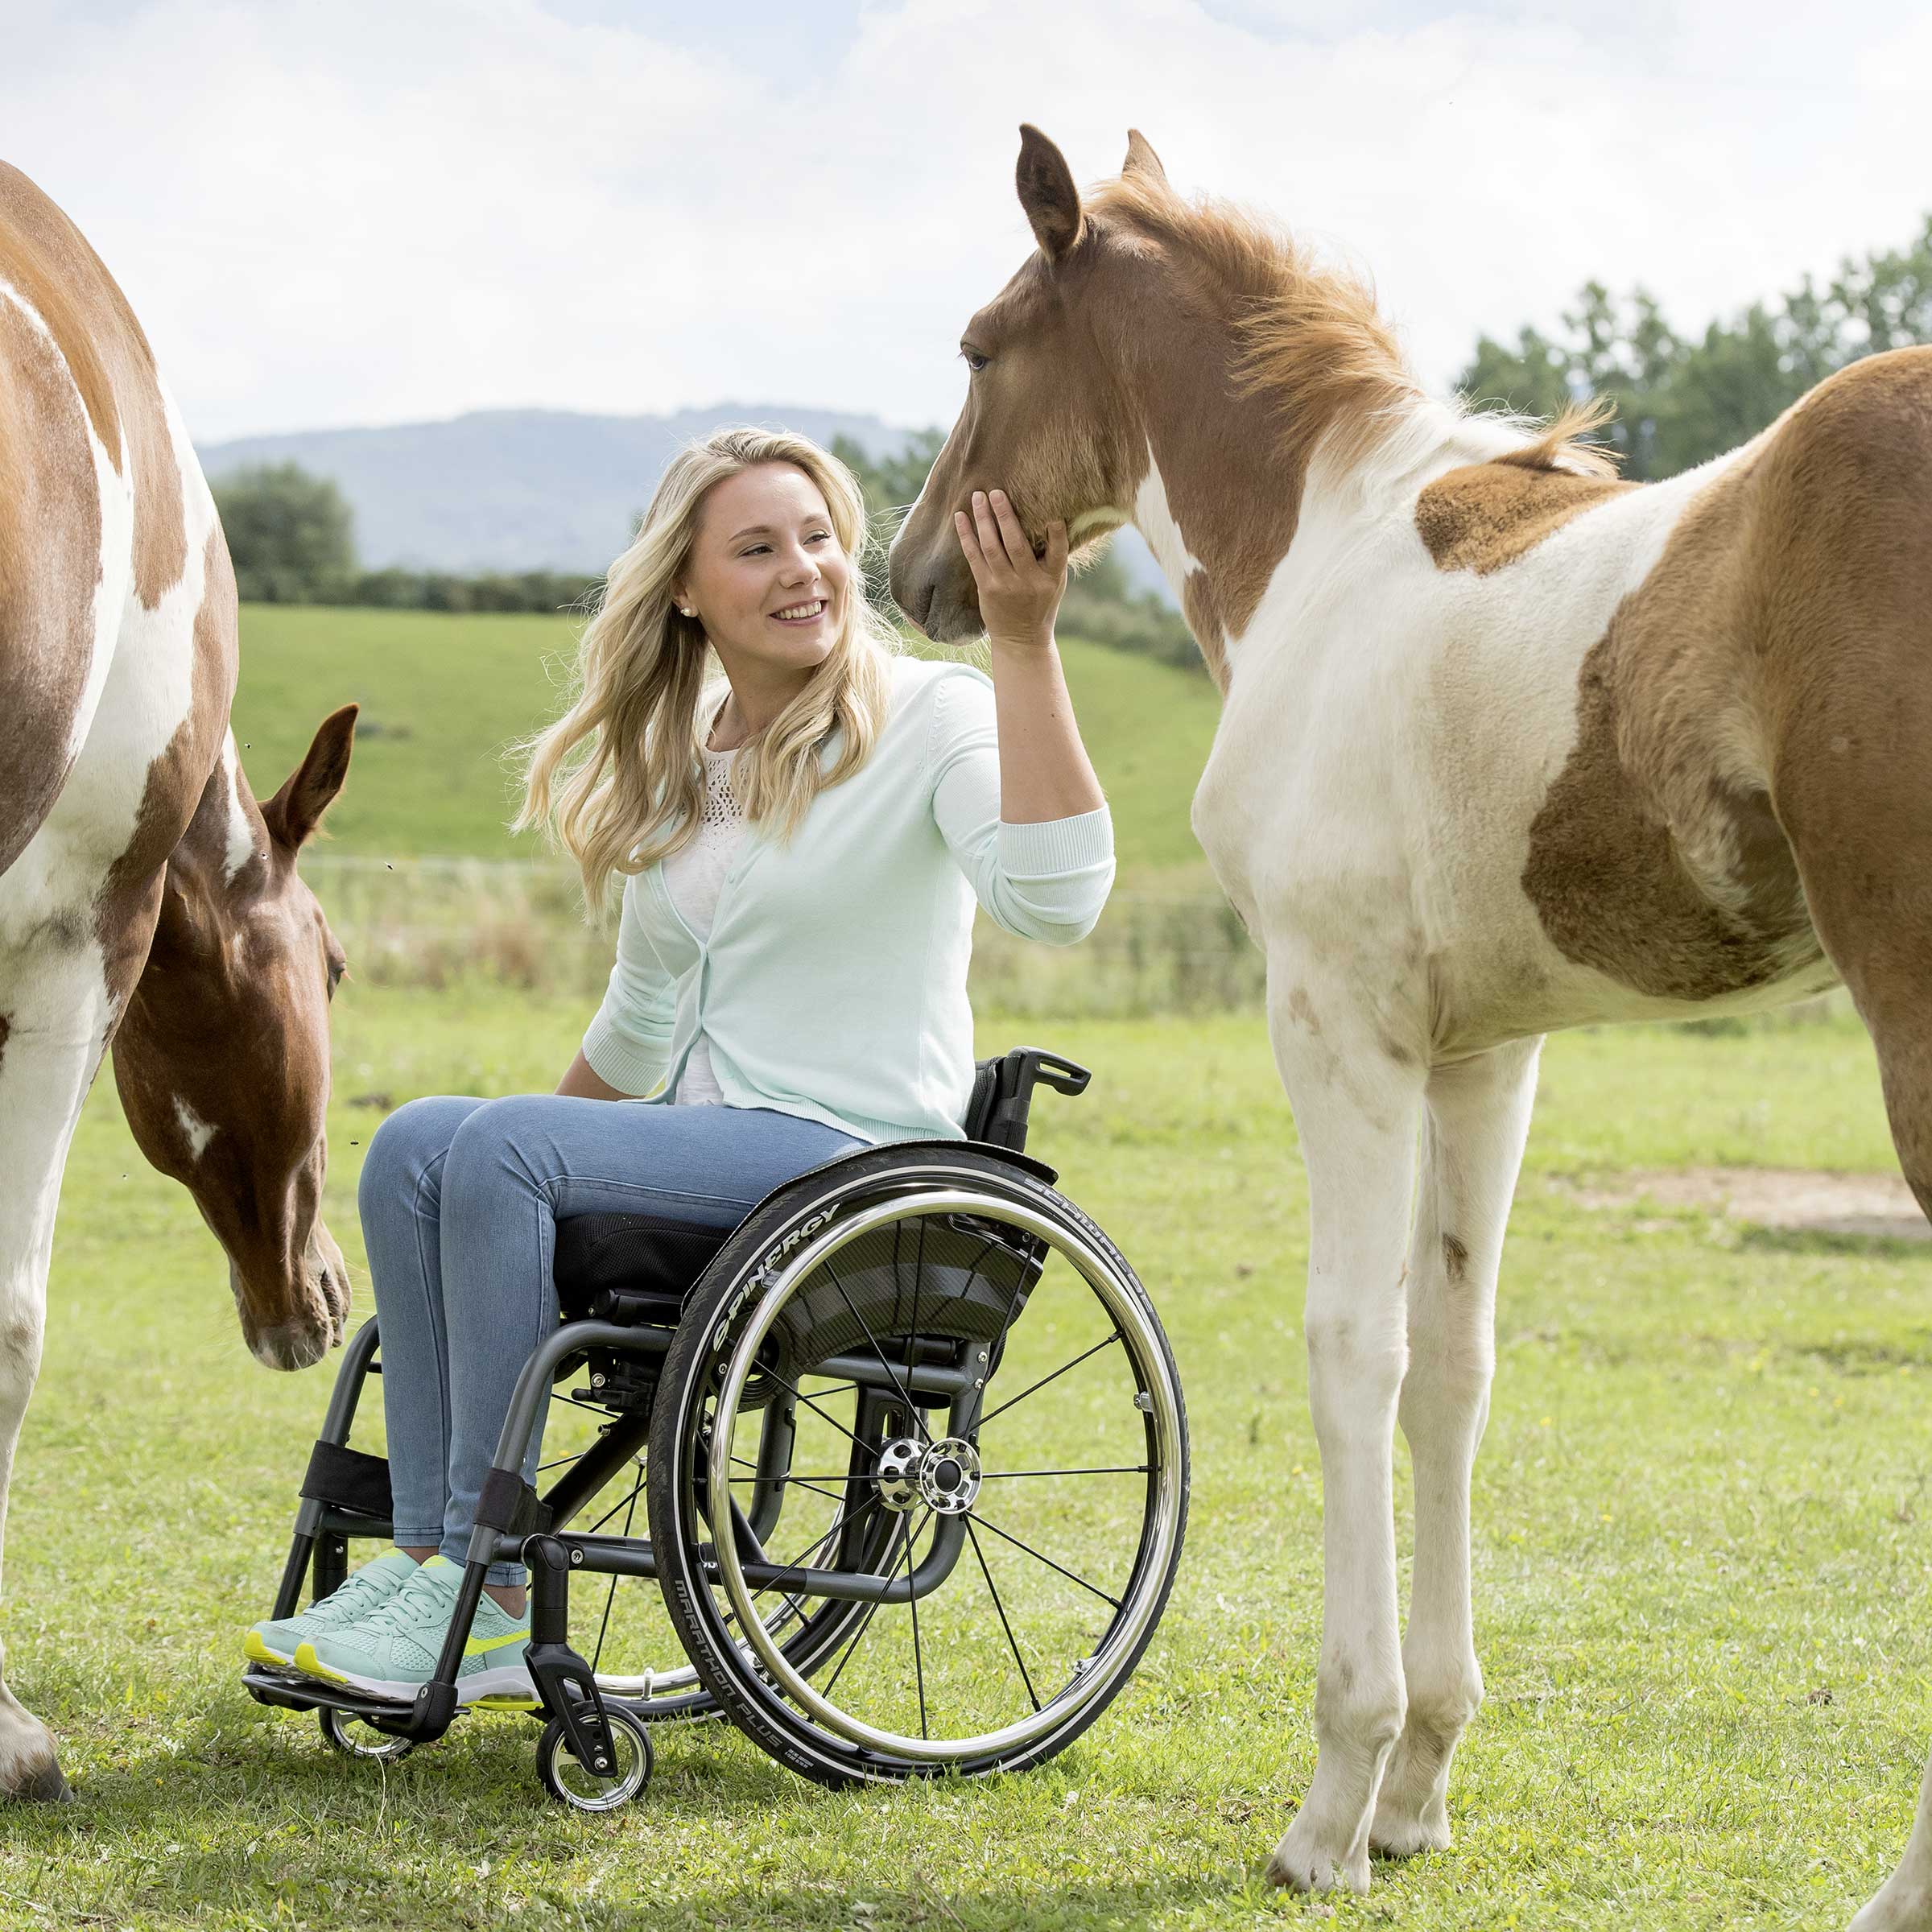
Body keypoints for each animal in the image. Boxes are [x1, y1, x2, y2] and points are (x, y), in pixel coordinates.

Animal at [888, 126, 1932, 1931]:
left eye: (977, 344)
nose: (916, 574)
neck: (1330, 558)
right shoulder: (1486, 1053)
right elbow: (1452, 1363)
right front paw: (1419, 1787)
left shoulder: (1337, 1020)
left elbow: (1348, 1352)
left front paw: (1331, 1801)